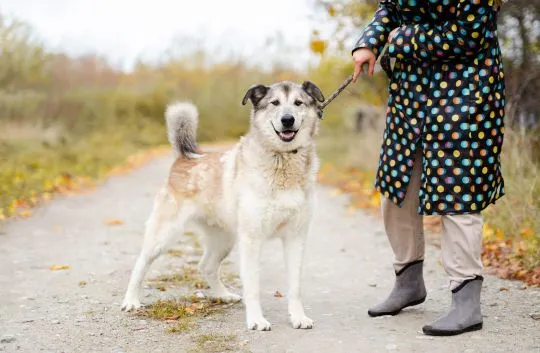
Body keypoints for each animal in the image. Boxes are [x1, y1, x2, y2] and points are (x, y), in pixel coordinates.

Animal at [121, 80, 324, 330]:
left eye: (298, 103)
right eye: (274, 103)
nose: (287, 119)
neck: (282, 159)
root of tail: (187, 157)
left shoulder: (296, 238)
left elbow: (295, 287)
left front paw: (298, 317)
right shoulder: (251, 239)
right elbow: (252, 286)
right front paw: (256, 320)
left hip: (224, 240)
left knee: (206, 266)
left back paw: (223, 295)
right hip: (164, 234)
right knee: (141, 263)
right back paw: (131, 300)